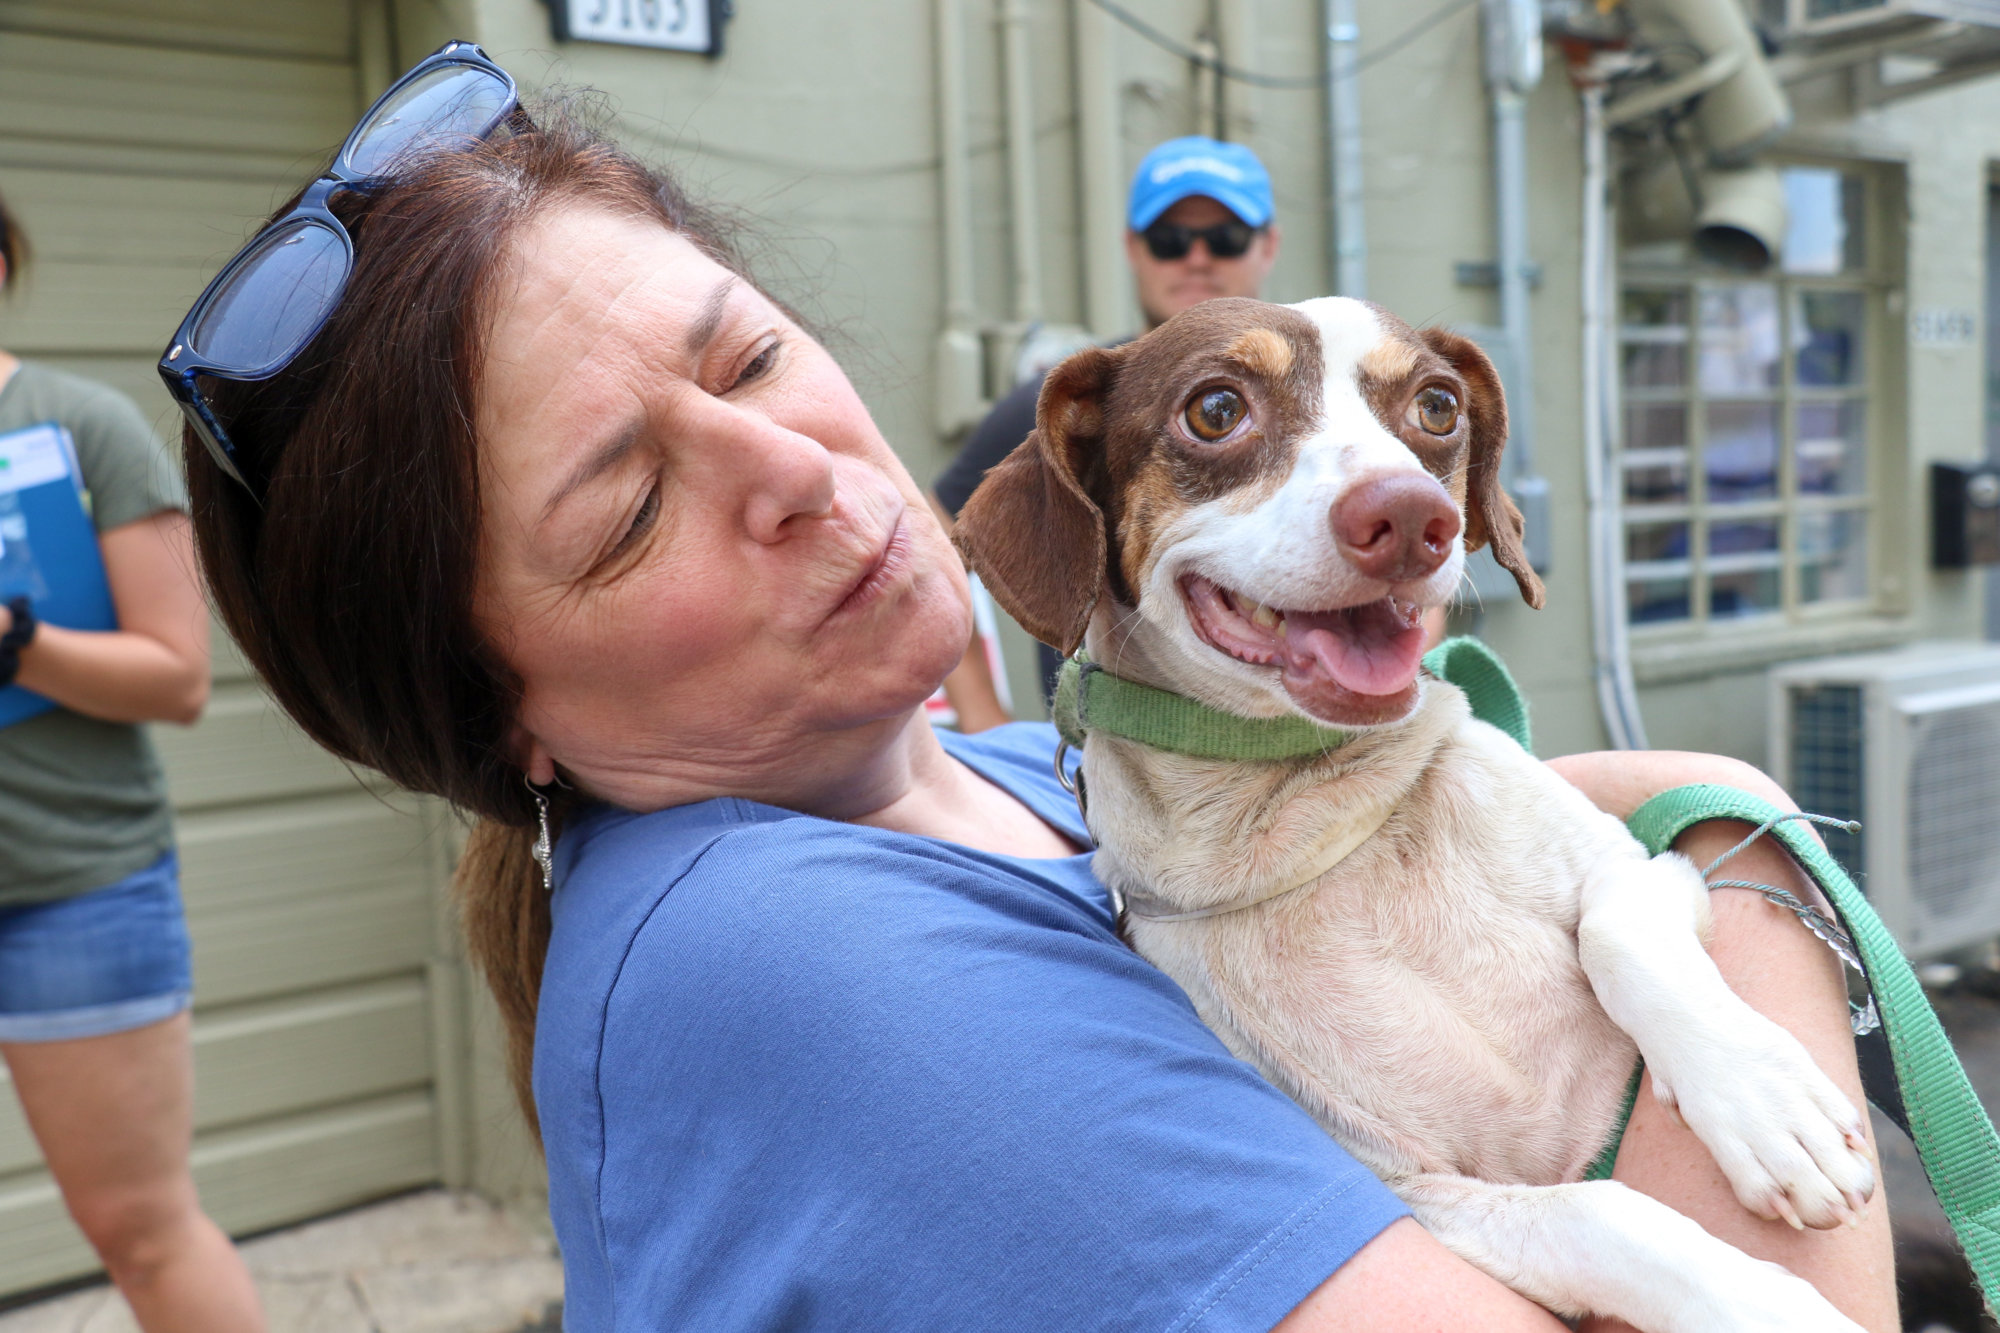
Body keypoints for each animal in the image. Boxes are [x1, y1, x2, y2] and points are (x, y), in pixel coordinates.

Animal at [952, 298, 1872, 1328]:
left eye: (1437, 406)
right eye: (1216, 408)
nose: (1408, 516)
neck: (1326, 814)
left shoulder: (1644, 868)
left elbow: (1619, 934)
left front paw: (1764, 1102)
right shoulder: (1411, 1193)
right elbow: (1598, 1212)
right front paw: (1759, 1302)